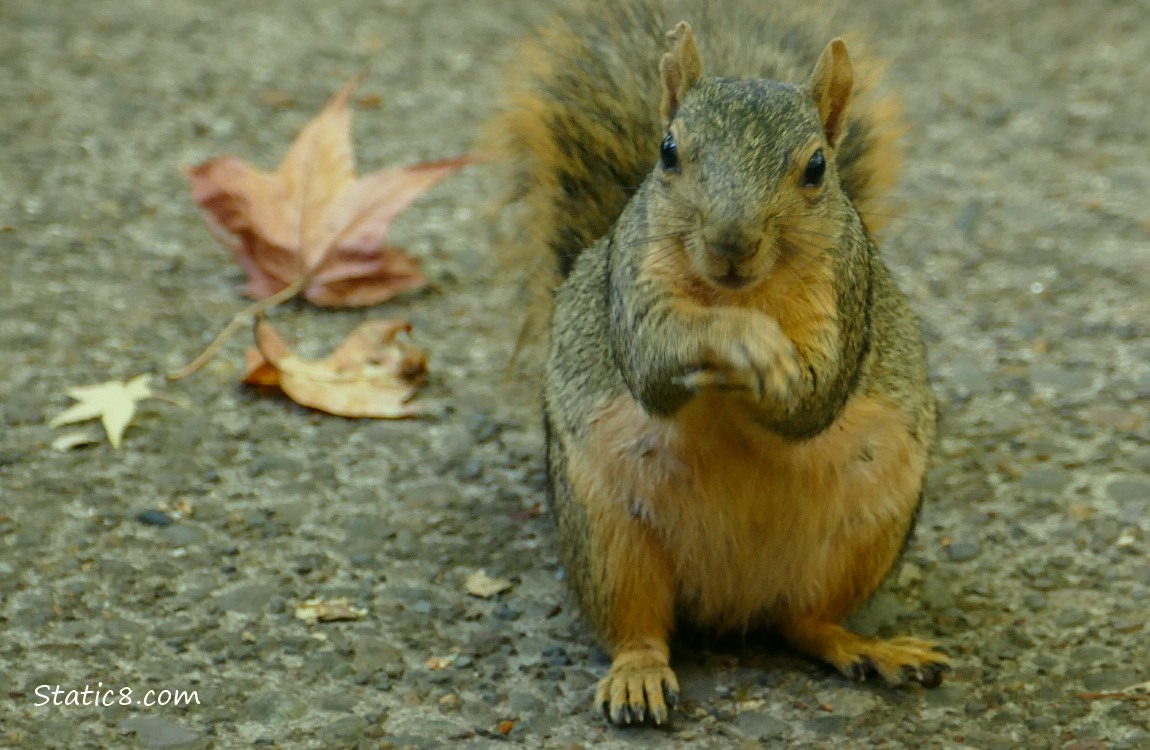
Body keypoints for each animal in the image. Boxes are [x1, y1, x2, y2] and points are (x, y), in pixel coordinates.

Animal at [487, 0, 949, 725]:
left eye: (817, 168)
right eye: (668, 151)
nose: (732, 242)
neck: (740, 293)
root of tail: (731, 608)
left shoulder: (847, 294)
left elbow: (817, 399)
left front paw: (769, 366)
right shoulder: (633, 284)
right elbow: (653, 361)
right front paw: (739, 342)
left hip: (866, 530)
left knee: (803, 622)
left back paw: (866, 648)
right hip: (606, 536)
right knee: (638, 627)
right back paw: (639, 674)